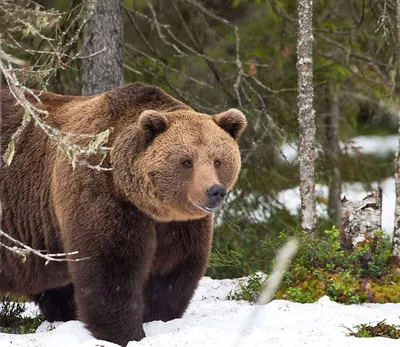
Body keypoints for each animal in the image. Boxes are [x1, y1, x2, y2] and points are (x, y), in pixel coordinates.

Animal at [0, 83, 245, 346]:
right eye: (186, 161)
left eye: (218, 160)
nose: (214, 191)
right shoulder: (101, 194)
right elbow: (111, 268)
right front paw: (125, 333)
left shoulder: (179, 225)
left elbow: (174, 269)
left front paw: (157, 319)